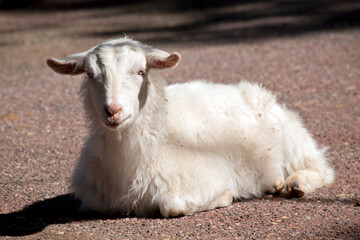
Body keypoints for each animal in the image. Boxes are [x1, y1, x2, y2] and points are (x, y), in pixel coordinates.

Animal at [47, 37, 334, 218]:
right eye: (89, 75)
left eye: (140, 72)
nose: (113, 110)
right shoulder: (94, 195)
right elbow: (94, 205)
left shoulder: (203, 174)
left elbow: (171, 206)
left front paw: (224, 197)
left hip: (293, 140)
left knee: (322, 169)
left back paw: (296, 183)